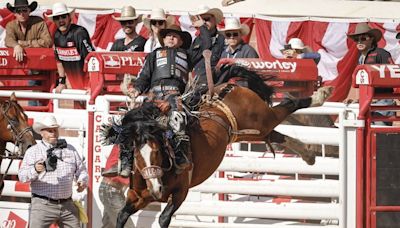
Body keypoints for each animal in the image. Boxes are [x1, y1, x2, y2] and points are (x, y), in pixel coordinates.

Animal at [101, 67, 332, 227]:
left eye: (157, 151)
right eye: (137, 156)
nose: (157, 189)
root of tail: (225, 88)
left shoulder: (181, 192)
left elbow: (164, 217)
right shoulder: (136, 197)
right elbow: (121, 215)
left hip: (262, 118)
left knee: (288, 106)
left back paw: (320, 95)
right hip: (254, 130)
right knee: (275, 134)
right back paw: (308, 154)